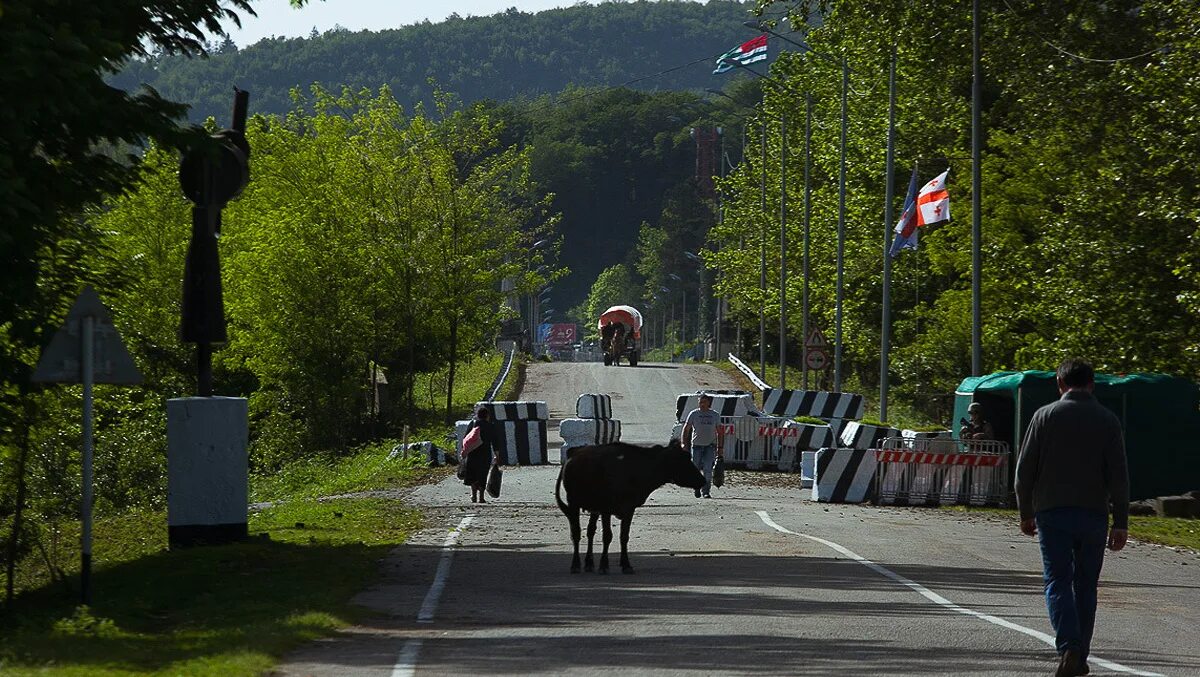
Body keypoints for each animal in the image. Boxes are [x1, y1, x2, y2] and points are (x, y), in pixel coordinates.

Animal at [552, 441, 700, 573]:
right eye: (682, 460)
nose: (702, 480)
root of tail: (574, 452)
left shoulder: (629, 508)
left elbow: (624, 536)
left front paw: (626, 565)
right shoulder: (606, 509)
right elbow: (607, 536)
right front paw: (604, 565)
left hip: (594, 509)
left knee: (590, 531)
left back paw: (589, 564)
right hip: (573, 503)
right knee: (576, 533)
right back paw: (576, 565)